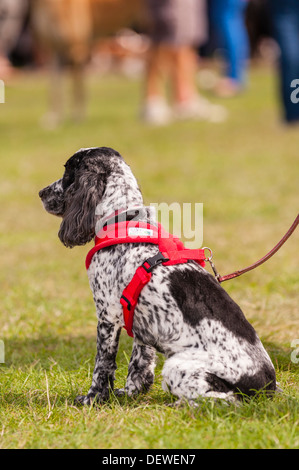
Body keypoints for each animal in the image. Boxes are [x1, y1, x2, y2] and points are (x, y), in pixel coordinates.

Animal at [38, 147, 278, 404]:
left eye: (67, 173)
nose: (41, 193)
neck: (123, 219)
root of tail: (267, 387)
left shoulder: (107, 315)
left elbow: (102, 364)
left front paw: (93, 398)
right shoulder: (139, 319)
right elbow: (139, 362)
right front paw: (130, 393)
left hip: (177, 366)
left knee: (226, 400)